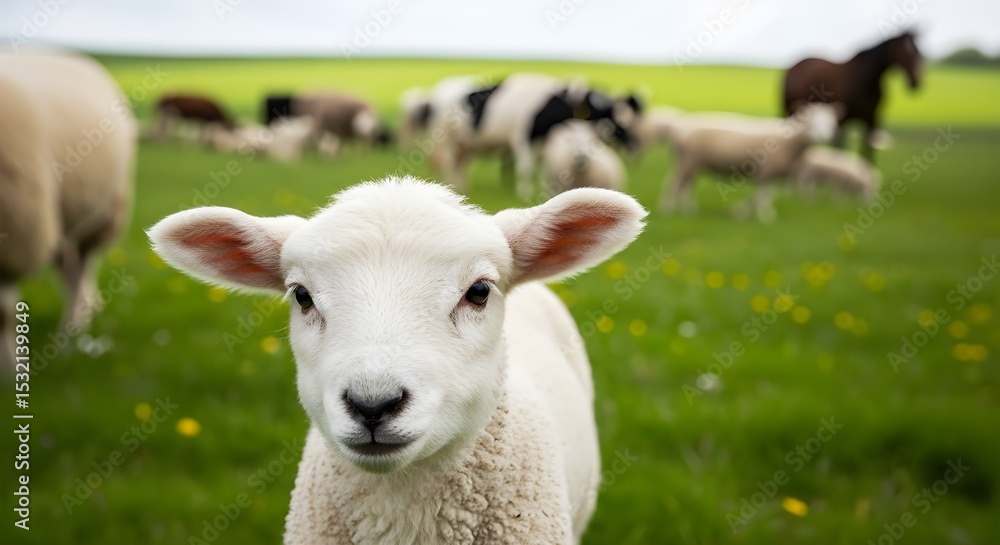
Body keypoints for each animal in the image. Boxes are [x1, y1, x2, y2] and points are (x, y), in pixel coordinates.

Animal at [0, 49, 136, 371]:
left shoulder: (16, 239)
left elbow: (3, 314)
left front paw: (9, 369)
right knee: (69, 266)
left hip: (103, 212)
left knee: (81, 265)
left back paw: (73, 326)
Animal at [659, 103, 839, 219]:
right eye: (811, 121)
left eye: (831, 123)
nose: (822, 137)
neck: (791, 142)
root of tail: (678, 129)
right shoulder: (767, 171)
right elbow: (764, 194)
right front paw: (765, 215)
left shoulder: (767, 173)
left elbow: (761, 194)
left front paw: (744, 212)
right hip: (687, 161)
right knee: (674, 184)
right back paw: (667, 210)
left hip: (688, 162)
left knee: (684, 185)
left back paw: (688, 209)